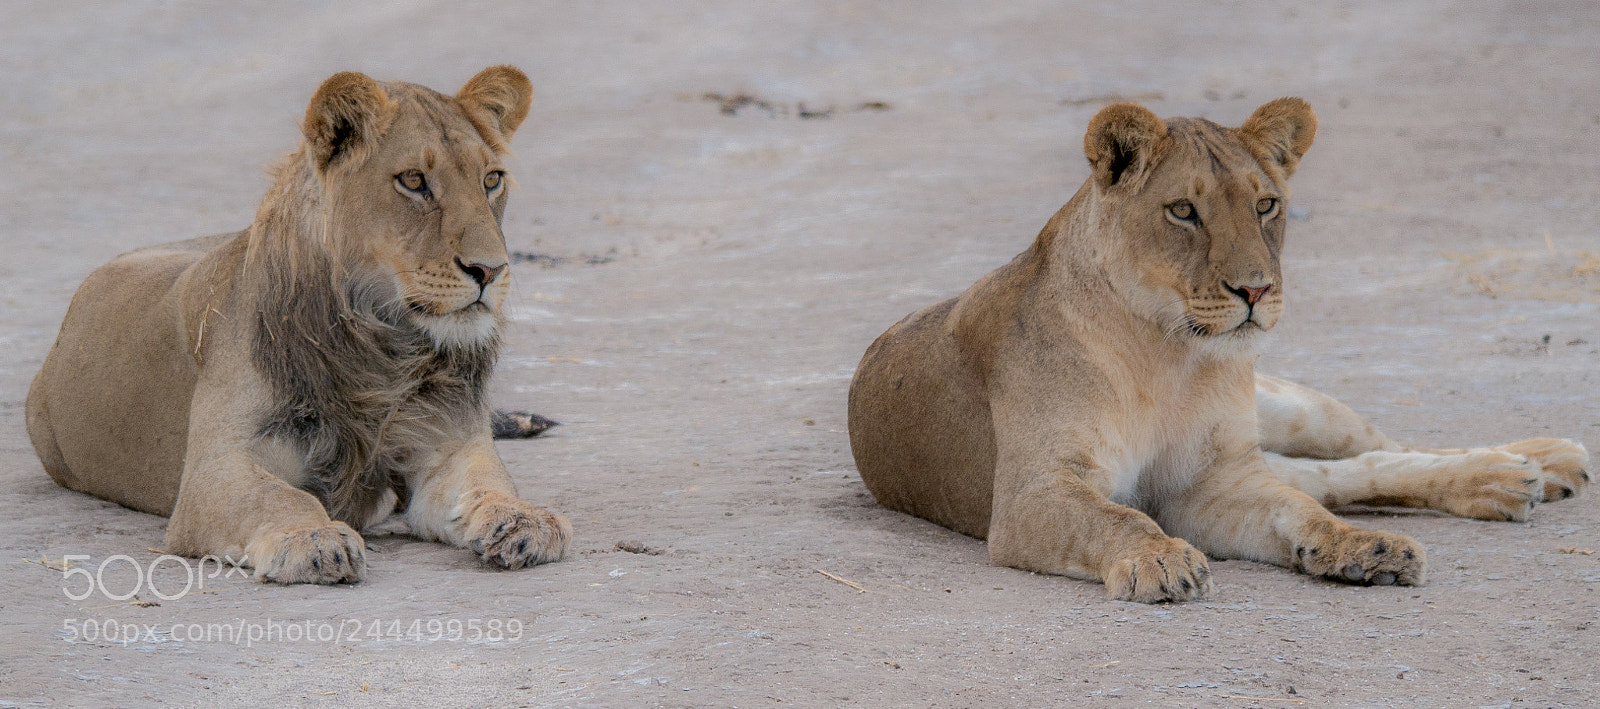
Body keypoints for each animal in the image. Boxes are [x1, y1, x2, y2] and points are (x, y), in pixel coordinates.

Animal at [25, 66, 572, 584]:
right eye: (414, 181)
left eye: (491, 180)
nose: (491, 270)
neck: (384, 350)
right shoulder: (213, 470)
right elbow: (280, 498)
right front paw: (312, 539)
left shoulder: (449, 447)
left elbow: (488, 484)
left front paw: (525, 521)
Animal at [847, 98, 1589, 603]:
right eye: (1183, 211)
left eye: (1266, 205)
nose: (1256, 289)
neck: (1167, 352)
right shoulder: (1039, 491)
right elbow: (1119, 517)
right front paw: (1161, 561)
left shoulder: (1213, 478)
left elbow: (1300, 510)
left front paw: (1357, 548)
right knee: (1338, 474)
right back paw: (1515, 478)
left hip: (1291, 408)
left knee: (1372, 452)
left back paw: (1534, 463)